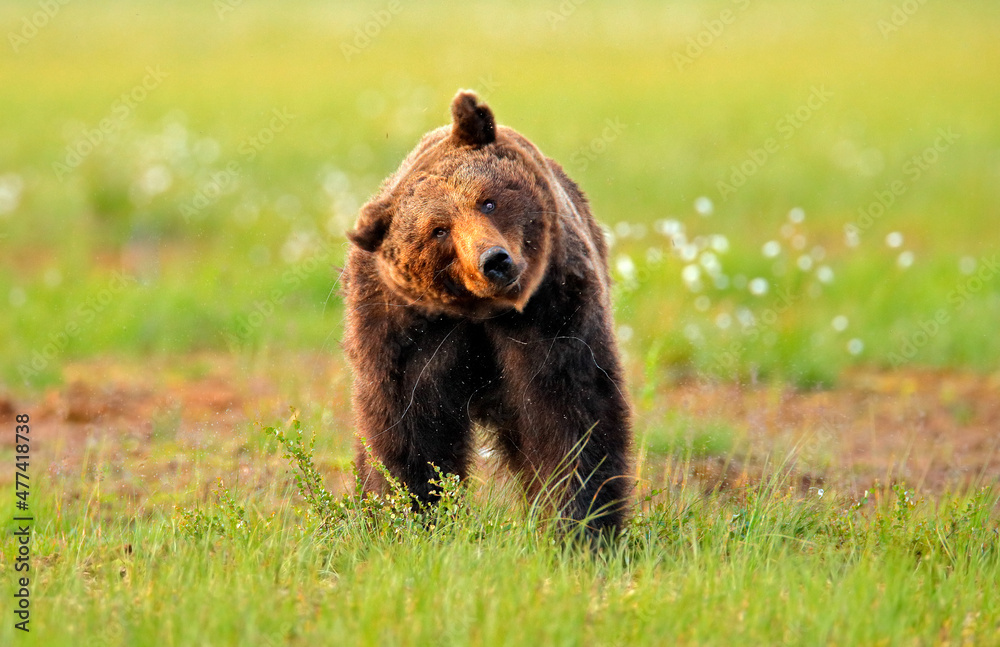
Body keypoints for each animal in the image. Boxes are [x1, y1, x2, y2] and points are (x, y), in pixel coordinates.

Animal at [340, 91, 628, 536]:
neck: (479, 314)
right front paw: (411, 514)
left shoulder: (552, 312)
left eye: (487, 200)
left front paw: (581, 523)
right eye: (438, 230)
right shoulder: (406, 333)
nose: (494, 261)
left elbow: (569, 415)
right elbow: (408, 429)